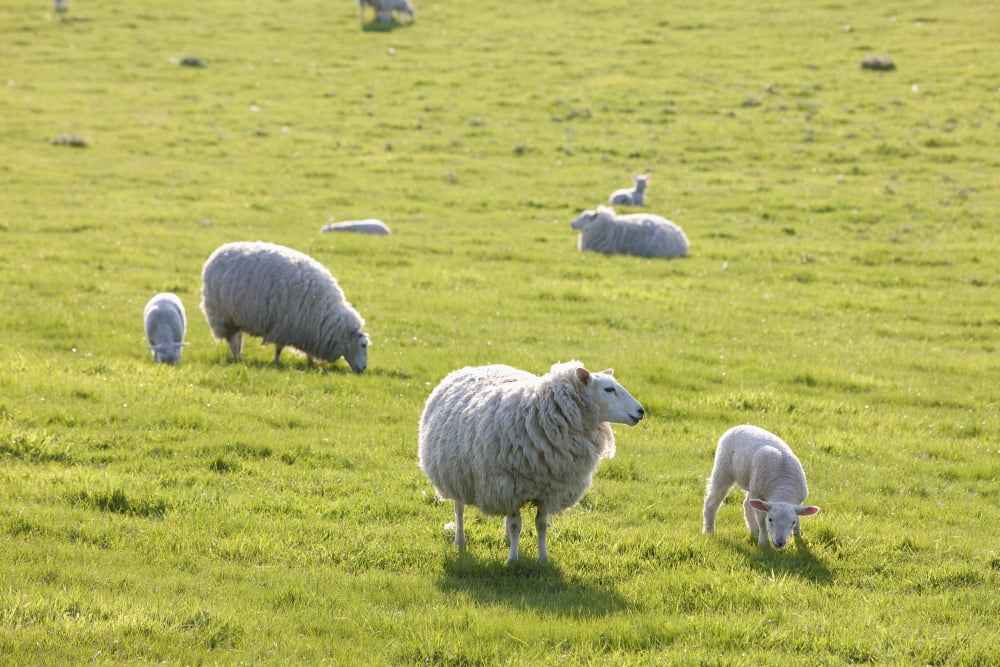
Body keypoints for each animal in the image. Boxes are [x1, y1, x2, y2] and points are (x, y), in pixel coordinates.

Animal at [199, 241, 369, 372]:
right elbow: (279, 348)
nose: (363, 369)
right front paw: (277, 362)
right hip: (222, 315)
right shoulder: (285, 327)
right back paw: (237, 357)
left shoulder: (307, 331)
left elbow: (306, 351)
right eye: (363, 345)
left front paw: (310, 363)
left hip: (235, 316)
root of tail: (220, 250)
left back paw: (239, 356)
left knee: (238, 337)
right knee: (232, 339)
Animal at [418, 361, 645, 563]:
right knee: (459, 509)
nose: (641, 411)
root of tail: (472, 367)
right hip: (455, 474)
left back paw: (505, 539)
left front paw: (542, 559)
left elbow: (541, 525)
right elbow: (516, 525)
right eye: (609, 389)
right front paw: (512, 560)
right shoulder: (507, 487)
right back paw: (460, 540)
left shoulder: (549, 489)